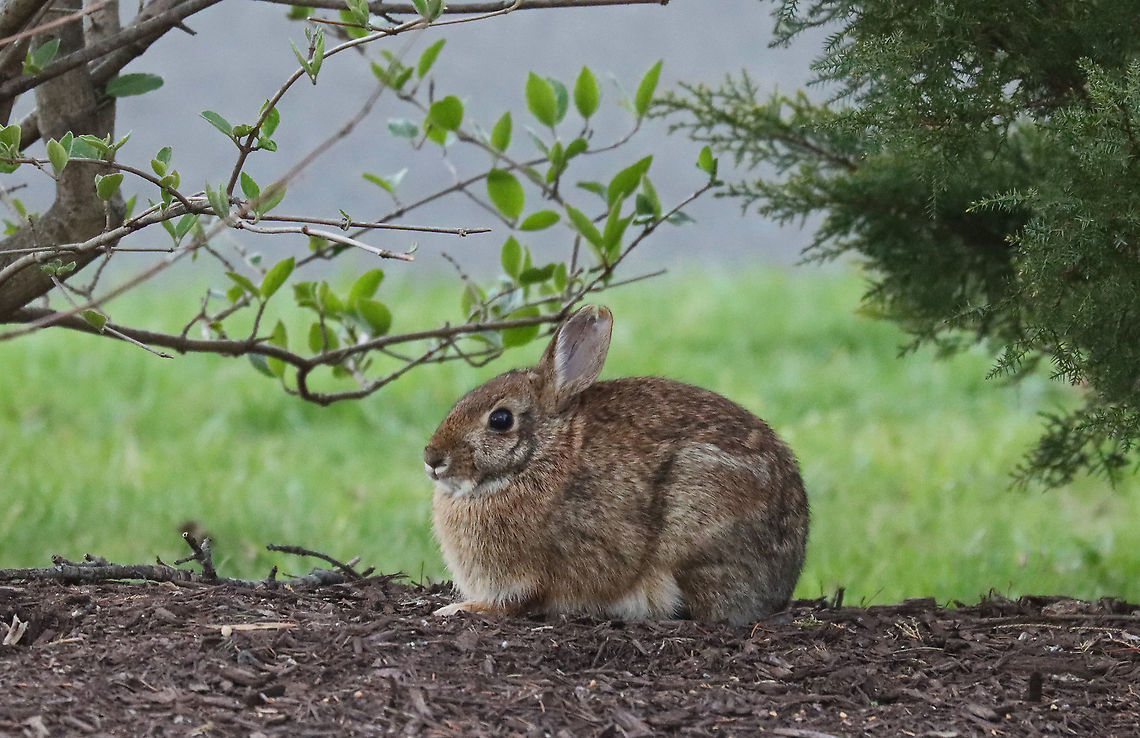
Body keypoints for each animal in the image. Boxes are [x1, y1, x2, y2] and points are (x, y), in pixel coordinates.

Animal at [423, 304, 809, 625]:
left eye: (500, 420)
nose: (432, 459)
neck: (539, 456)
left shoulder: (531, 578)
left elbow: (513, 604)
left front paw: (455, 608)